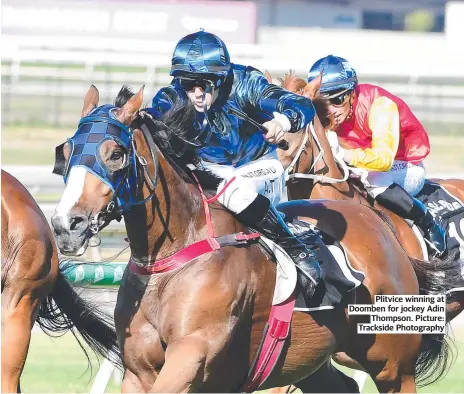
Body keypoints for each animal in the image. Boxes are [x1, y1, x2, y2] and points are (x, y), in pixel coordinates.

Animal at [49, 84, 456, 392]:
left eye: (115, 153)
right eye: (66, 151)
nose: (67, 225)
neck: (175, 254)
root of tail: (380, 228)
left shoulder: (192, 355)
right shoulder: (139, 369)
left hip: (391, 363)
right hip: (308, 358)